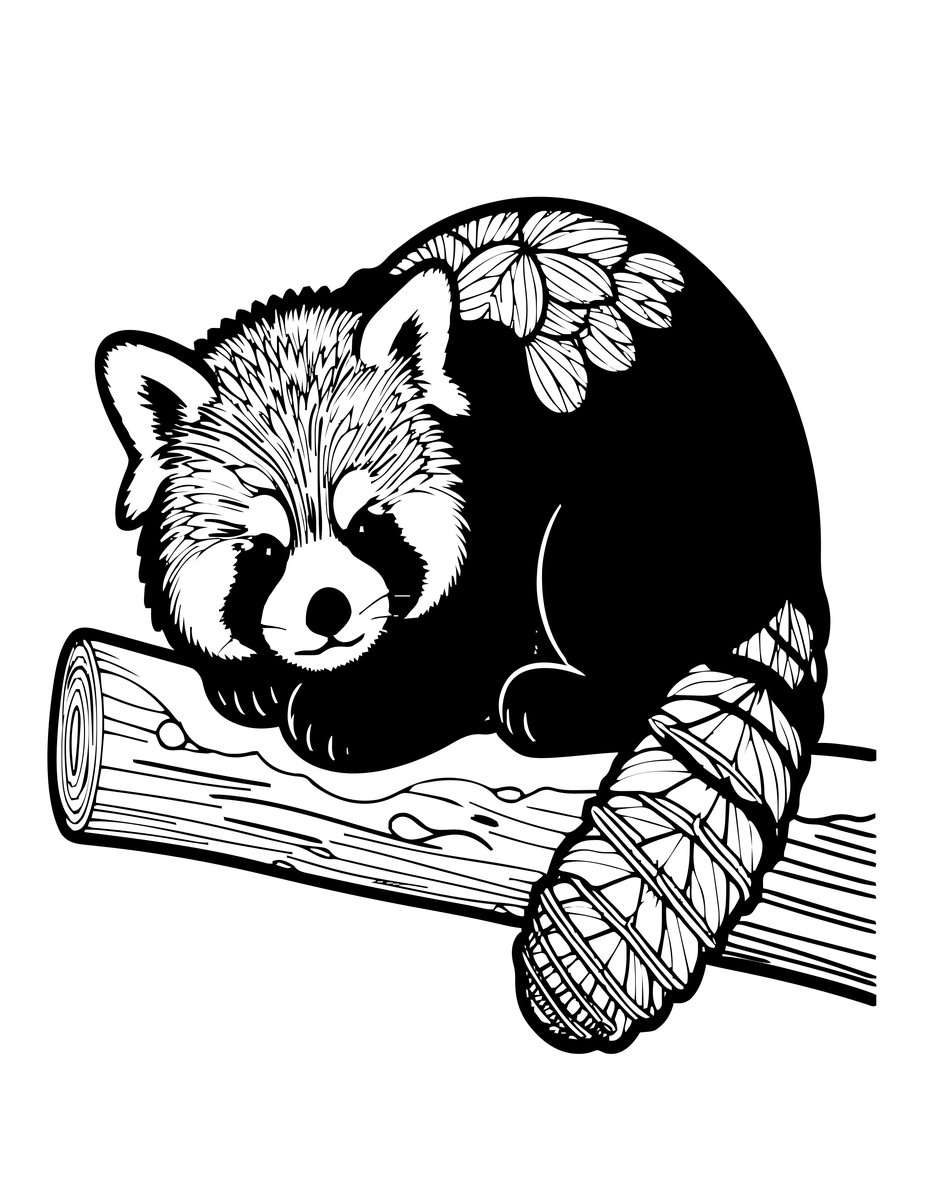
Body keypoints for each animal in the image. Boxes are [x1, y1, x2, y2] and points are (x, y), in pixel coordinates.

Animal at [96, 199, 827, 772]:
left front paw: (360, 712)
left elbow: (474, 632)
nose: (328, 610)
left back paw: (564, 700)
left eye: (368, 525)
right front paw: (250, 677)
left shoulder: (513, 493)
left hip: (669, 507)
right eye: (267, 551)